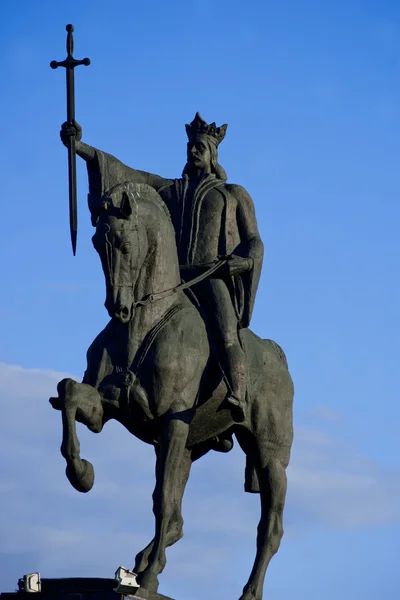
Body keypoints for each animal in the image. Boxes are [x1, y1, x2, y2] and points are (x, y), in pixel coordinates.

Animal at [50, 183, 294, 600]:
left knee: (270, 528)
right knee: (179, 520)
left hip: (269, 456)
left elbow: (162, 499)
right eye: (97, 243)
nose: (118, 308)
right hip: (192, 449)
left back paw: (246, 590)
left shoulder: (172, 423)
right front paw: (81, 473)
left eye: (125, 243)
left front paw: (147, 583)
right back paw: (142, 562)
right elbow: (68, 393)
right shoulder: (109, 409)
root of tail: (276, 355)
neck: (142, 326)